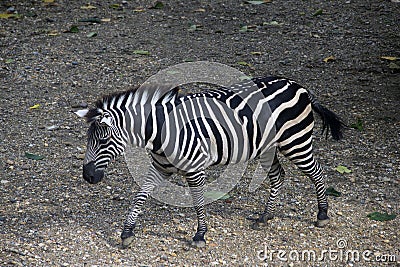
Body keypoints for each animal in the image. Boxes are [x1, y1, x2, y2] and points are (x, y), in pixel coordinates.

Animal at [76, 76, 344, 248]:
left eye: (103, 140)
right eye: (89, 140)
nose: (88, 177)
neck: (161, 130)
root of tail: (300, 87)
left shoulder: (195, 169)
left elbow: (197, 202)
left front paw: (199, 235)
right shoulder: (161, 168)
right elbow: (141, 195)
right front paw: (127, 232)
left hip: (295, 141)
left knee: (316, 172)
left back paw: (322, 214)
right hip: (266, 147)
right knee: (278, 176)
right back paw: (265, 216)